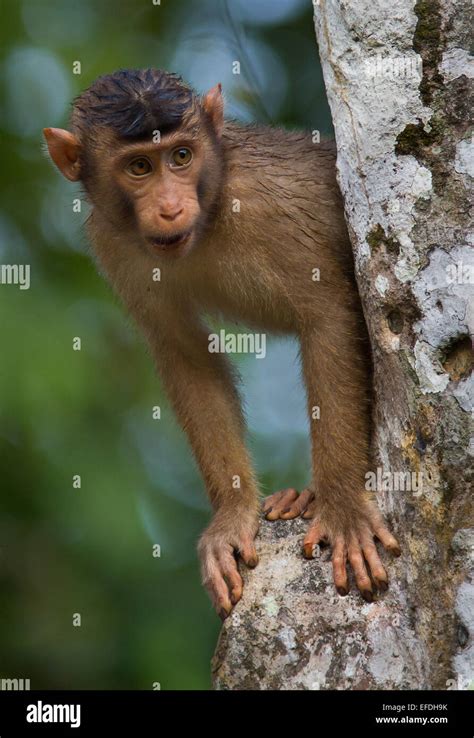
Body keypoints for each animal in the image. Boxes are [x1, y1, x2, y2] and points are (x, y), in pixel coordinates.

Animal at [44, 69, 400, 616]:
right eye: (140, 166)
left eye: (181, 156)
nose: (171, 208)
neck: (213, 205)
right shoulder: (113, 243)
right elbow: (185, 353)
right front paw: (233, 514)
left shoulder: (269, 210)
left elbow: (328, 319)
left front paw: (342, 507)